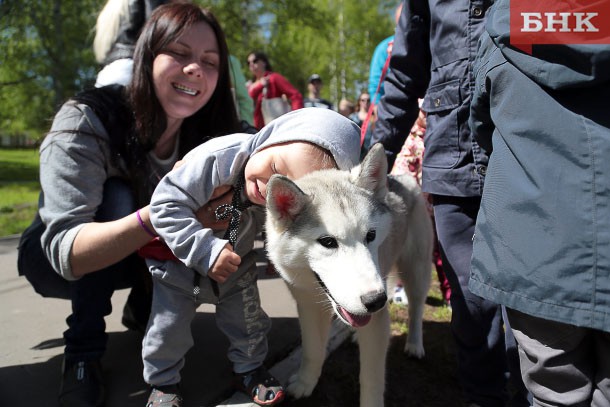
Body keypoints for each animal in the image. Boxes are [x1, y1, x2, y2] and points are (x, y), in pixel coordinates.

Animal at [264, 144, 432, 407]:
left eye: (371, 235)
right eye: (327, 242)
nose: (376, 301)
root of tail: (401, 178)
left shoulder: (378, 322)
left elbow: (372, 378)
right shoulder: (308, 308)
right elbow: (312, 351)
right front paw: (305, 383)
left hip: (417, 271)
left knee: (416, 308)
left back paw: (414, 344)